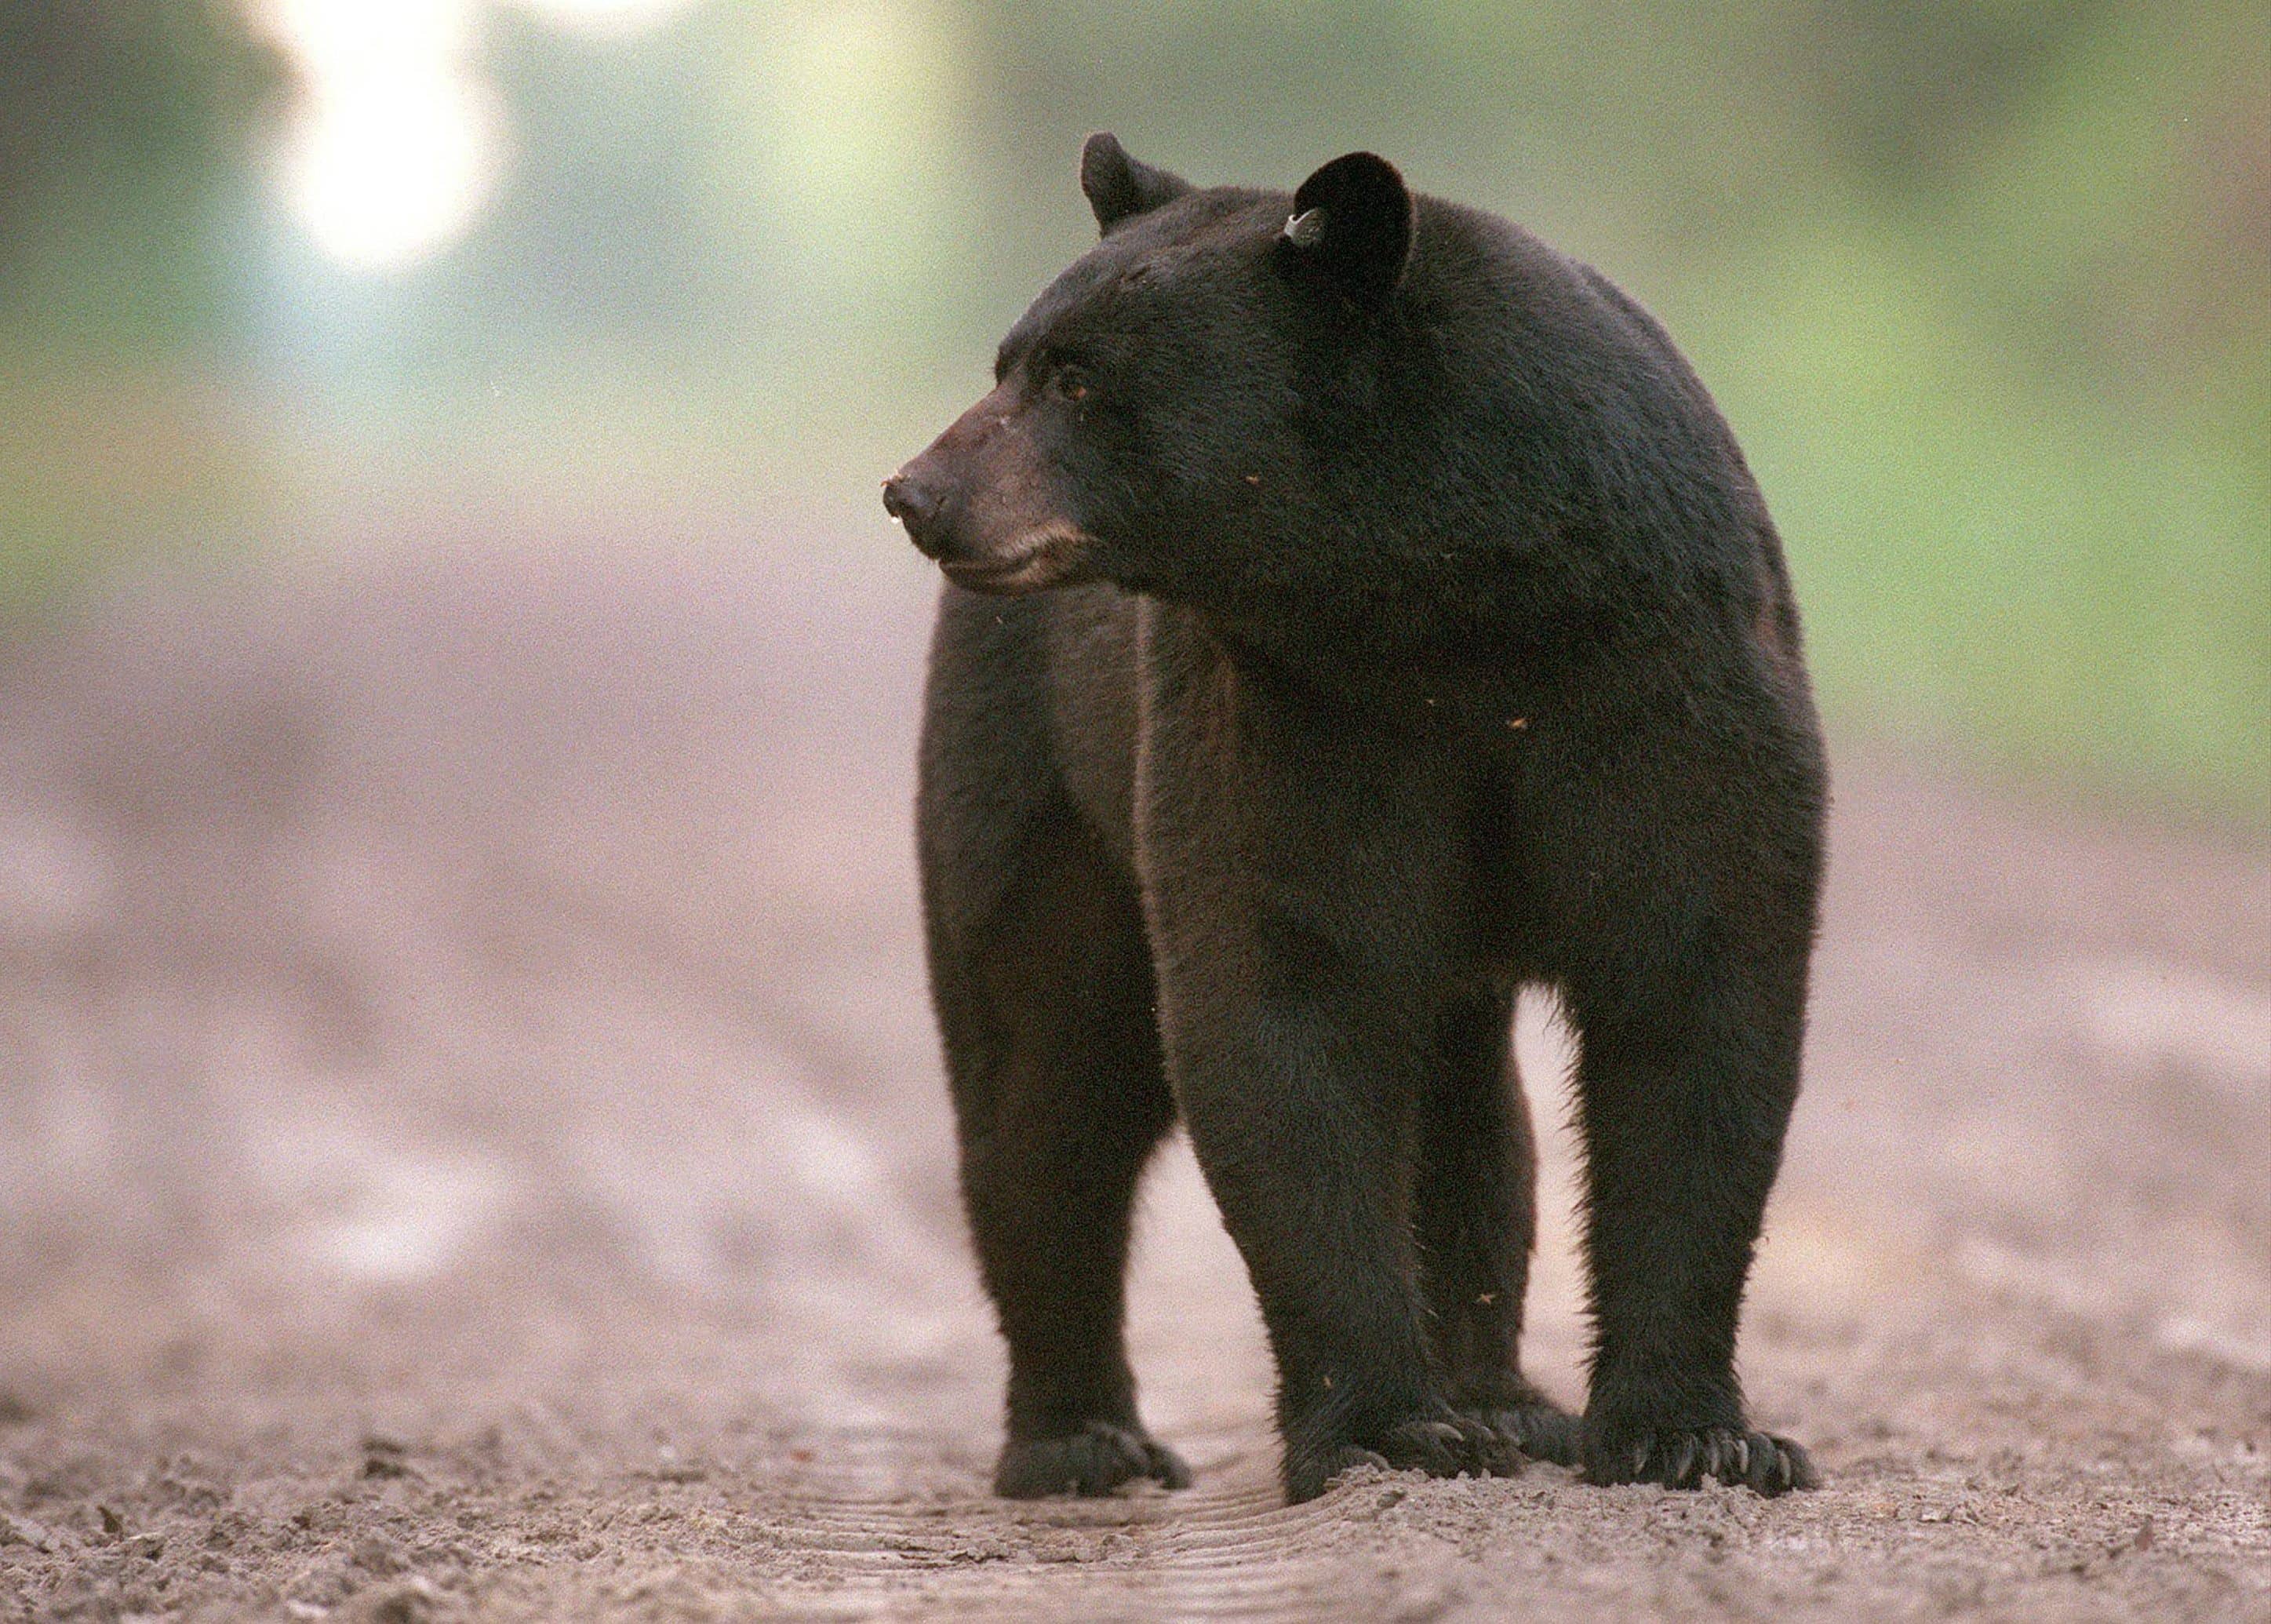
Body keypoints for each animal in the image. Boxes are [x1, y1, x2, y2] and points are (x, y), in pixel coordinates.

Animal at [886, 133, 1825, 1508]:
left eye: (1074, 374)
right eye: (1009, 358)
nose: (916, 490)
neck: (1448, 606)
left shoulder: (1664, 678)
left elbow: (1693, 999)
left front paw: (1695, 1434)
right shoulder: (1295, 713)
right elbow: (1285, 999)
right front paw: (1386, 1424)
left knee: (1464, 1112)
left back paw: (1503, 1396)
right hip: (1032, 766)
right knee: (1046, 1076)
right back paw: (1078, 1435)